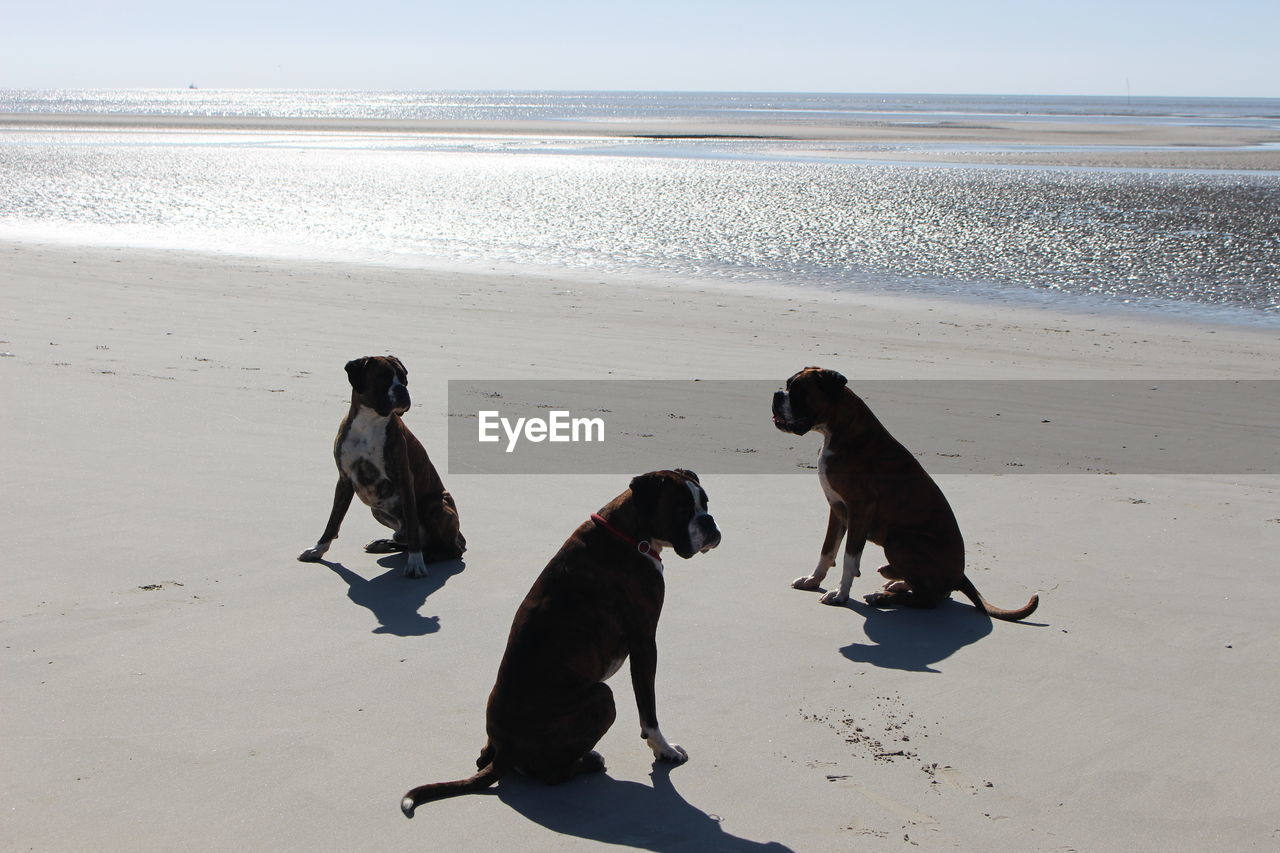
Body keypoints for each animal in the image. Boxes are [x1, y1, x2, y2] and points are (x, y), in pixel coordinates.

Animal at [296, 350, 463, 578]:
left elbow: (412, 526)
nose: (402, 389)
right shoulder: (344, 479)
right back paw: (384, 543)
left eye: (404, 379)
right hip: (377, 510)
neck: (369, 421)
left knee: (452, 548)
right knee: (405, 539)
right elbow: (334, 520)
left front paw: (415, 563)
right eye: (383, 378)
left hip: (434, 506)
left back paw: (429, 555)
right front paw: (318, 549)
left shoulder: (404, 480)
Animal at [399, 468, 721, 814]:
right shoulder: (645, 642)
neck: (628, 533)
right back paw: (587, 762)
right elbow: (649, 709)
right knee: (552, 774)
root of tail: (506, 752)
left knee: (485, 756)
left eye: (704, 503)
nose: (709, 522)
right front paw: (663, 750)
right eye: (681, 509)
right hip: (602, 697)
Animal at [768, 366, 1039, 617]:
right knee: (935, 592)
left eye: (798, 391)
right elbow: (827, 550)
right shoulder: (837, 509)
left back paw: (884, 597)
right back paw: (896, 583)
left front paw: (841, 594)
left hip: (900, 541)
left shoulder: (859, 509)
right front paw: (813, 580)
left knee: (929, 599)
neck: (840, 431)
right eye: (787, 385)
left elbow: (849, 557)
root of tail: (961, 575)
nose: (777, 394)